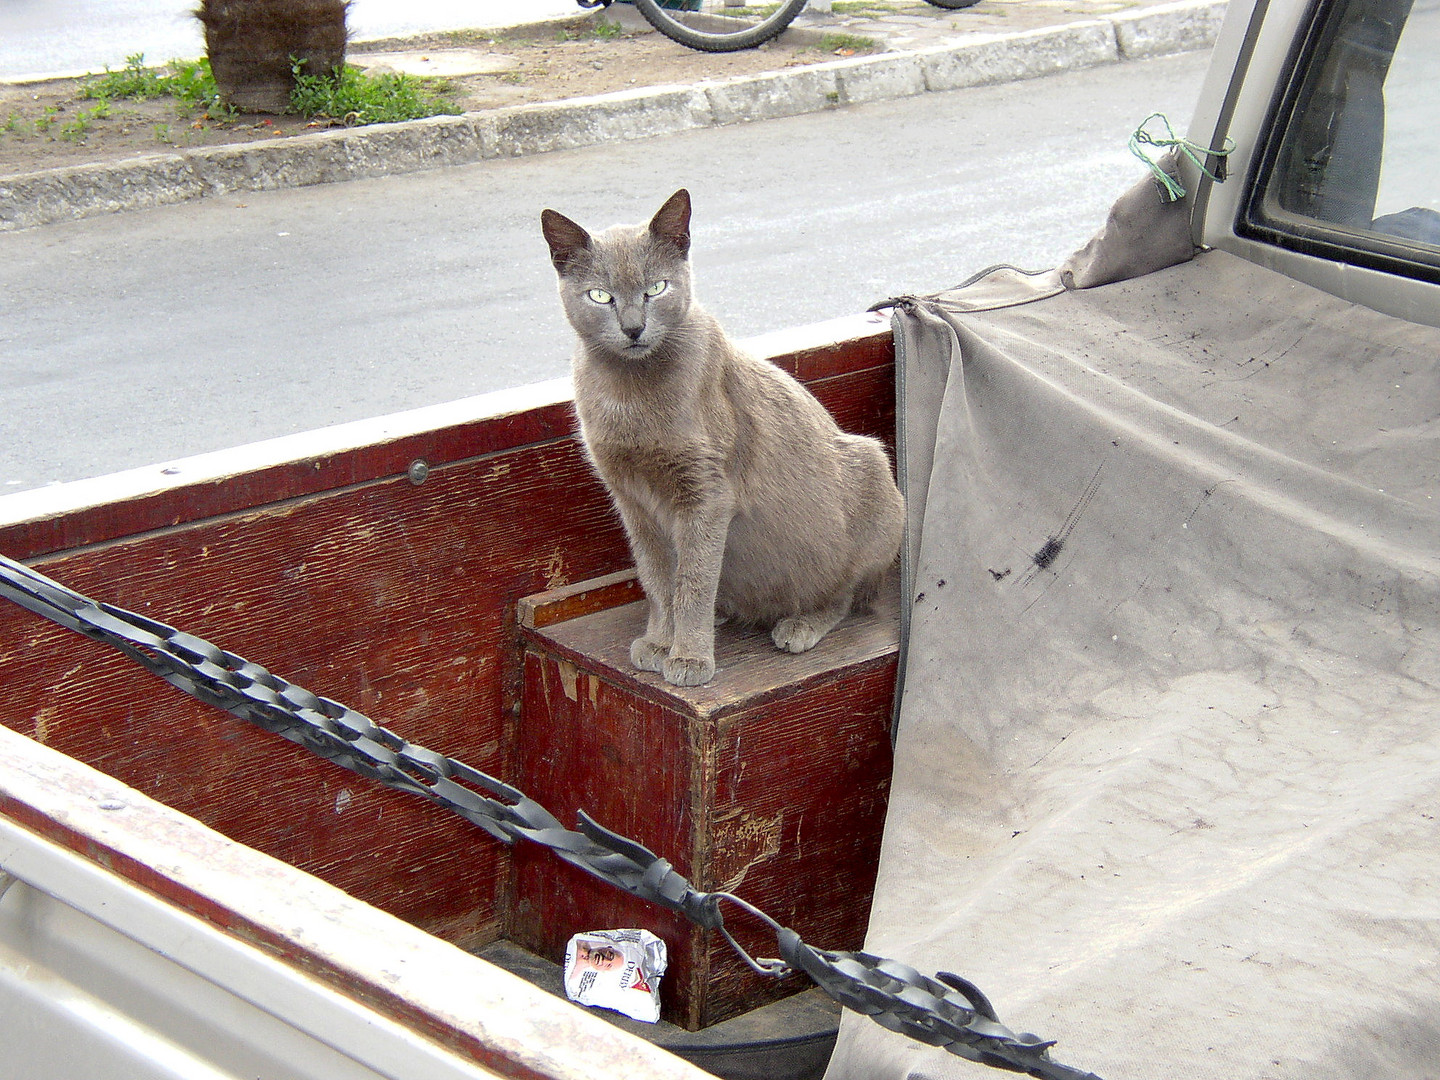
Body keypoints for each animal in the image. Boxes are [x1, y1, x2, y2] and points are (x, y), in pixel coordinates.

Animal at [541, 190, 898, 688]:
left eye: (657, 289)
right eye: (600, 295)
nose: (633, 327)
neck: (629, 395)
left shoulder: (706, 494)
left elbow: (693, 581)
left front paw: (689, 658)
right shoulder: (632, 502)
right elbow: (657, 579)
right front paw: (659, 642)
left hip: (873, 477)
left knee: (847, 594)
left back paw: (799, 624)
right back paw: (726, 613)